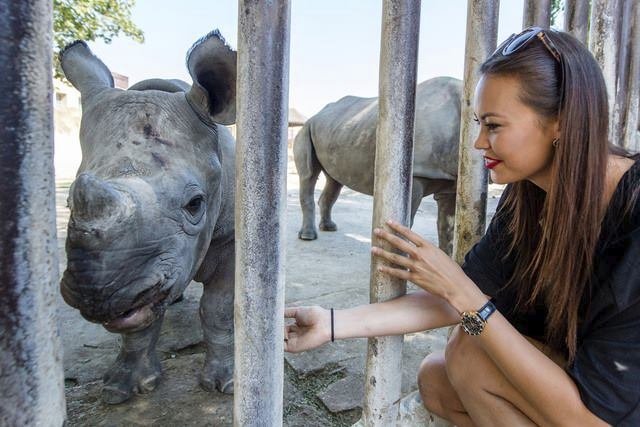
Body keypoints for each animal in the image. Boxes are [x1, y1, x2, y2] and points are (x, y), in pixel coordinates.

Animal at [58, 30, 235, 404]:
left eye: (196, 204)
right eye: (68, 203)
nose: (96, 295)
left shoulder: (230, 237)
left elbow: (218, 307)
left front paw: (225, 384)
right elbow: (139, 322)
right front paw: (121, 389)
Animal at [292, 77, 462, 254]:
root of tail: (315, 115)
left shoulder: (450, 181)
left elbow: (447, 228)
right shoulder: (418, 173)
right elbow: (405, 224)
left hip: (334, 129)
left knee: (334, 180)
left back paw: (329, 227)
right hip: (306, 129)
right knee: (309, 175)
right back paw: (308, 237)